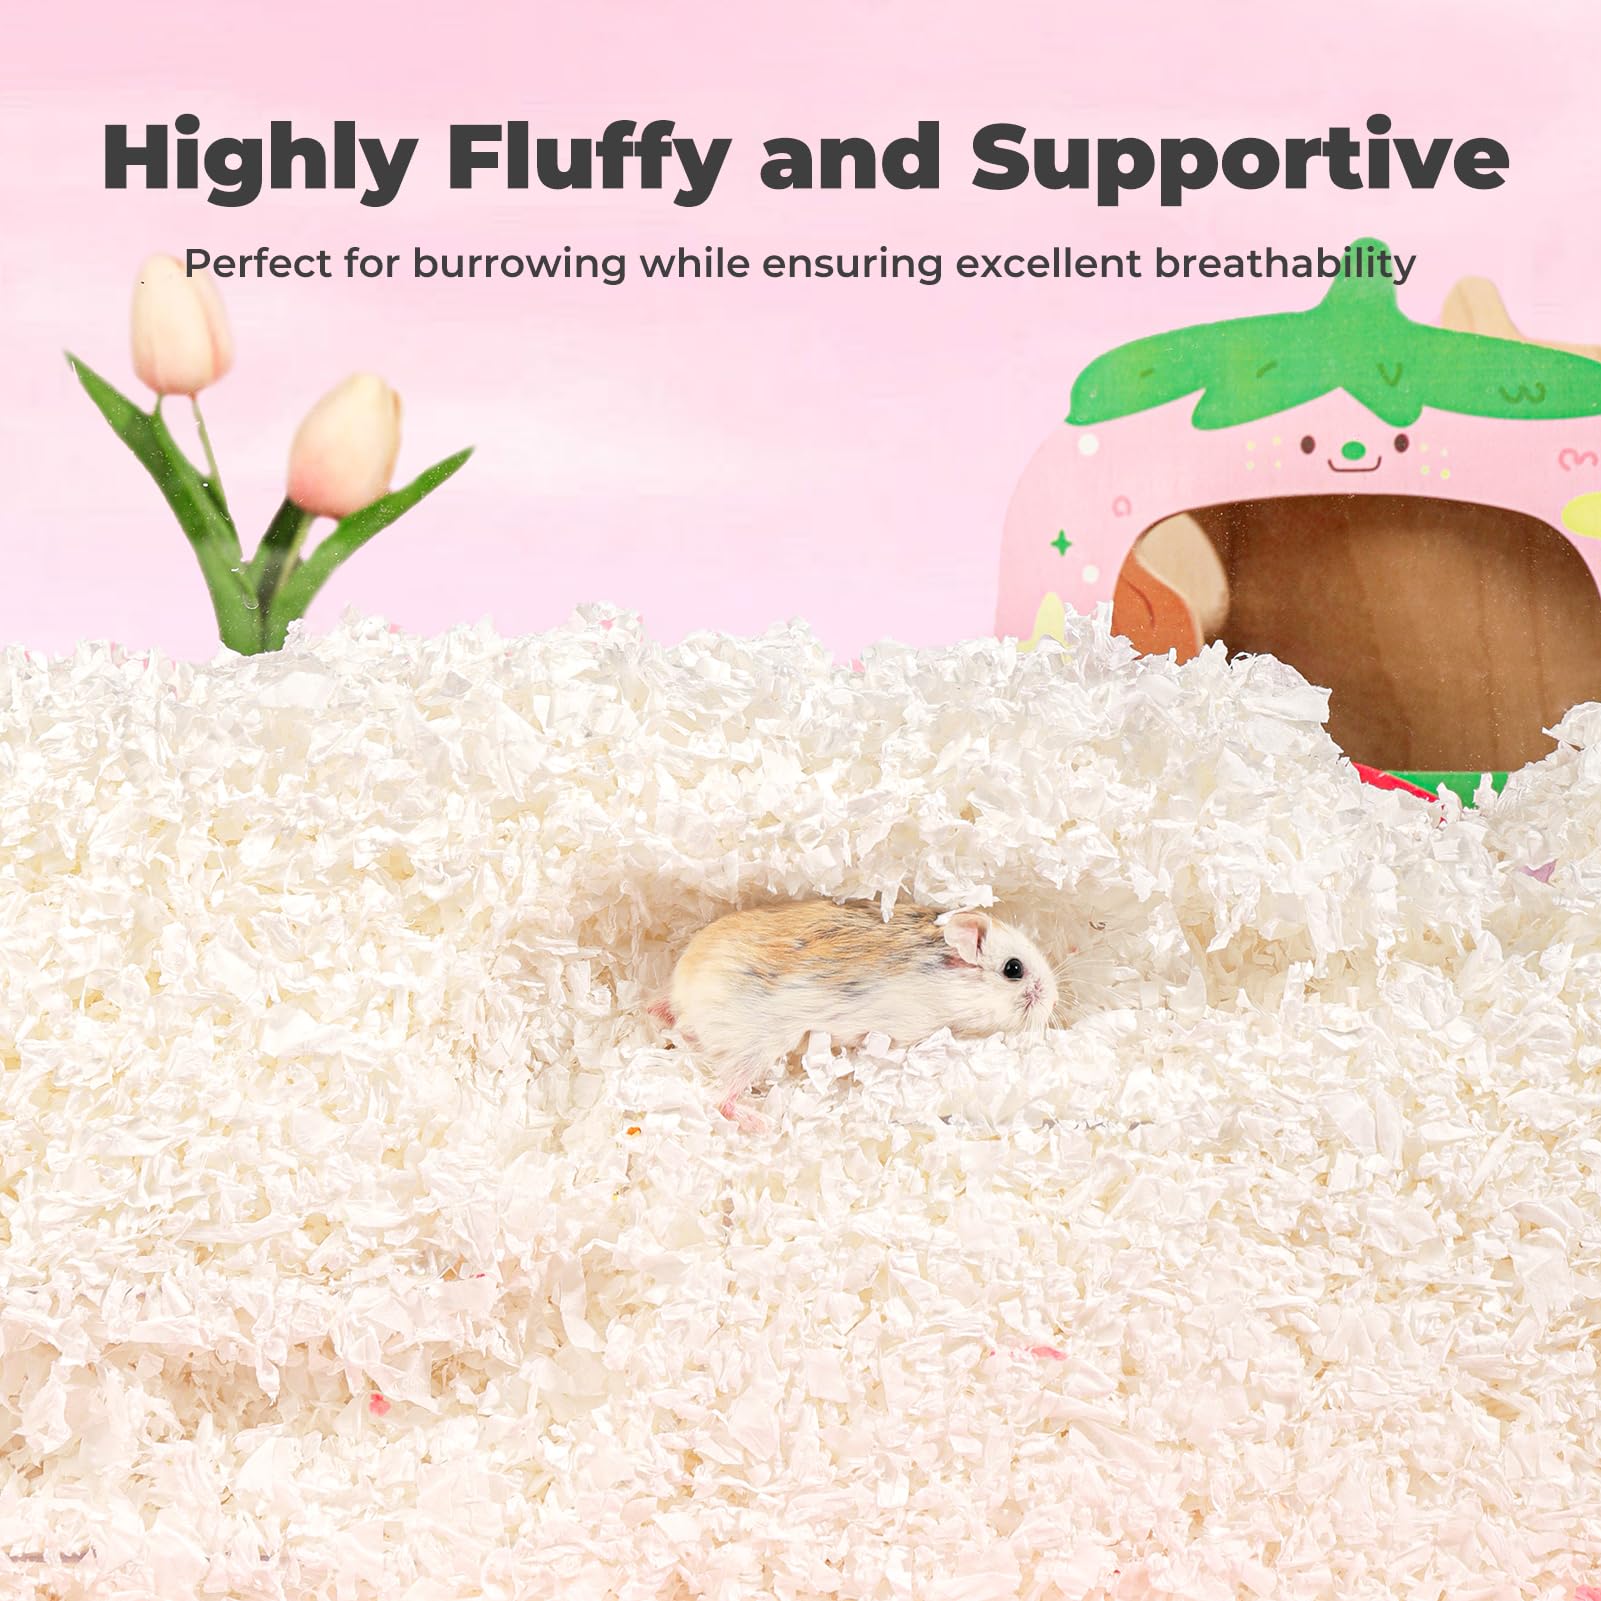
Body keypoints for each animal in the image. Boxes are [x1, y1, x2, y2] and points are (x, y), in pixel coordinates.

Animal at [650, 899, 1059, 1130]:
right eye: (1014, 969)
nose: (1052, 999)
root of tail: (684, 995)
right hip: (753, 1048)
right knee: (721, 1100)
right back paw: (763, 1123)